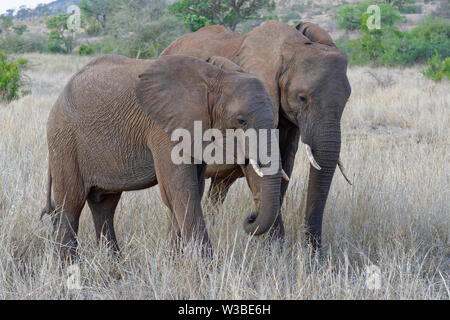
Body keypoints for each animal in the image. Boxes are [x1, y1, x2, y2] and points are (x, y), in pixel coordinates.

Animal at [42, 54, 282, 260]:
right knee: (71, 204)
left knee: (104, 205)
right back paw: (70, 267)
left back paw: (114, 264)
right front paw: (206, 271)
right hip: (64, 141)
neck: (215, 76)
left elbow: (188, 191)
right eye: (241, 120)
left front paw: (173, 262)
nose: (251, 217)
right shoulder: (163, 130)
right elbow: (180, 192)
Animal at [163, 20, 354, 250]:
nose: (315, 253)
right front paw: (278, 250)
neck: (290, 45)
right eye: (302, 97)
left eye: (347, 99)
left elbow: (284, 166)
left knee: (218, 189)